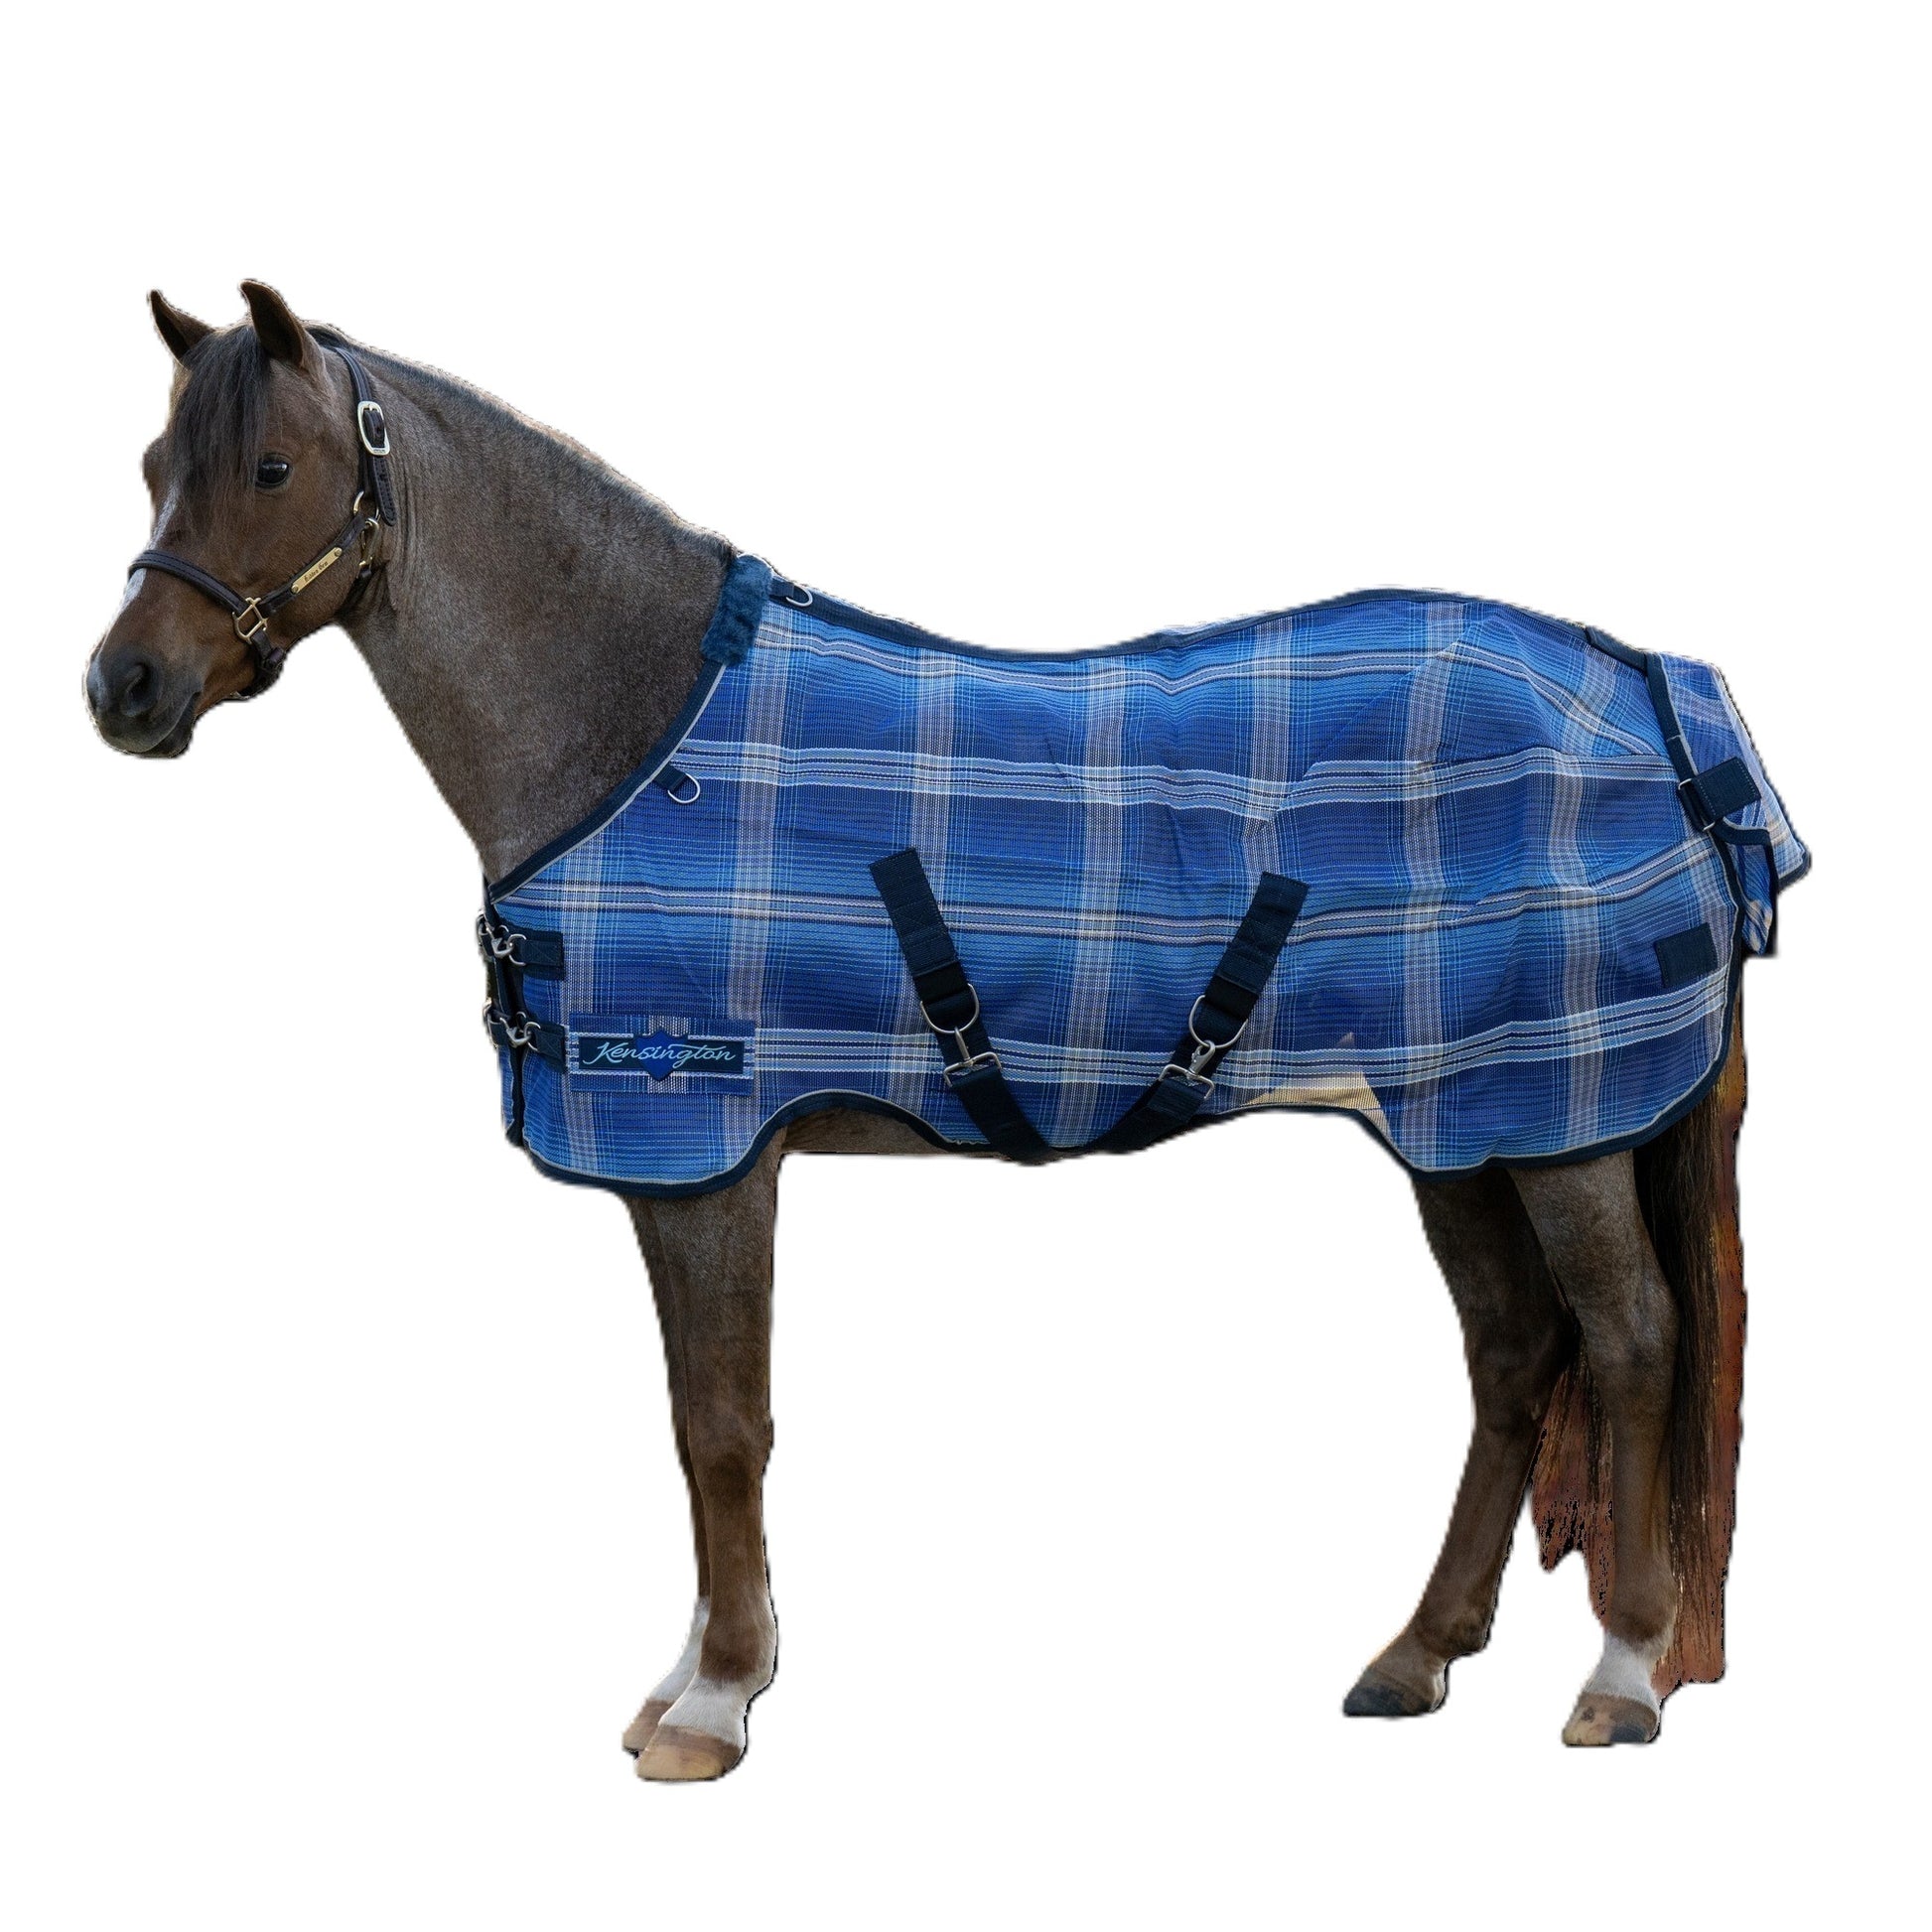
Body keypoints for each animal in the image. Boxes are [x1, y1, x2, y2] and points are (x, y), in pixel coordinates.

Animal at [85, 281, 1798, 1780]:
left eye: (272, 466)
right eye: (158, 467)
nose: (124, 688)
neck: (629, 732)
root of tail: (1662, 702)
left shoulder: (710, 1154)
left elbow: (723, 1425)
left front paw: (714, 1700)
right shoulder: (674, 1165)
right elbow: (694, 1423)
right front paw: (697, 1673)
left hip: (1556, 1123)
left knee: (1630, 1342)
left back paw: (1621, 1673)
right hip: (1454, 1127)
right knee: (1514, 1353)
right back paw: (1415, 1652)